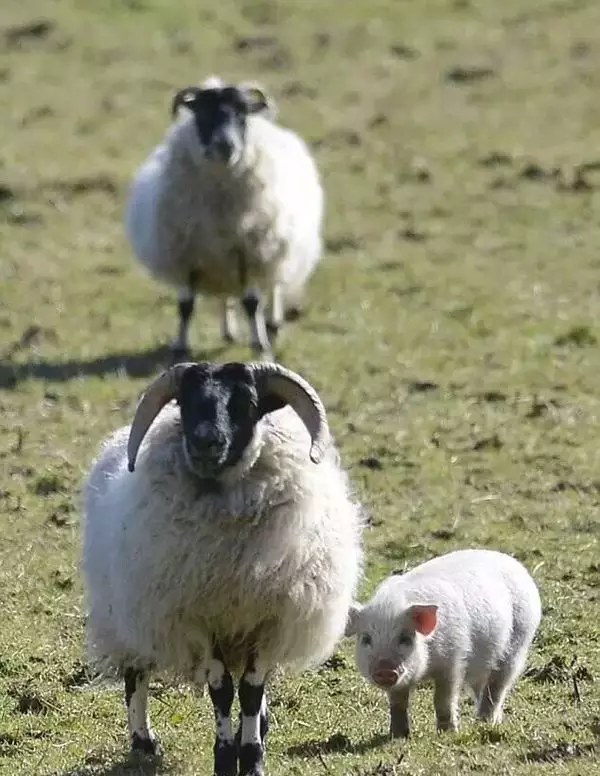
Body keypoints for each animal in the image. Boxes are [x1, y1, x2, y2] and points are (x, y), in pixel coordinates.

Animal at [82, 360, 364, 772]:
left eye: (247, 402)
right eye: (185, 402)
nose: (206, 442)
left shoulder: (267, 622)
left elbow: (250, 691)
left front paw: (252, 758)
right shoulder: (201, 621)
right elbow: (223, 691)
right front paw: (225, 757)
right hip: (128, 615)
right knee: (135, 675)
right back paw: (143, 741)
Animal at [124, 78, 326, 358]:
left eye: (241, 113)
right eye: (202, 112)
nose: (225, 146)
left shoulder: (249, 251)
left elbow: (252, 302)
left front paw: (260, 346)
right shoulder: (187, 254)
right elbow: (185, 306)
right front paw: (180, 347)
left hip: (277, 246)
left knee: (274, 285)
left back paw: (272, 324)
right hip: (221, 262)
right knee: (226, 296)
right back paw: (229, 330)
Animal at [344, 544, 540, 740]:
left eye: (405, 638)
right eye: (366, 639)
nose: (385, 669)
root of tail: (515, 564)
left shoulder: (454, 659)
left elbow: (443, 699)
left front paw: (448, 733)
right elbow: (398, 703)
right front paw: (397, 735)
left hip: (518, 643)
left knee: (497, 687)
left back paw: (484, 723)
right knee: (482, 688)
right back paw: (494, 722)